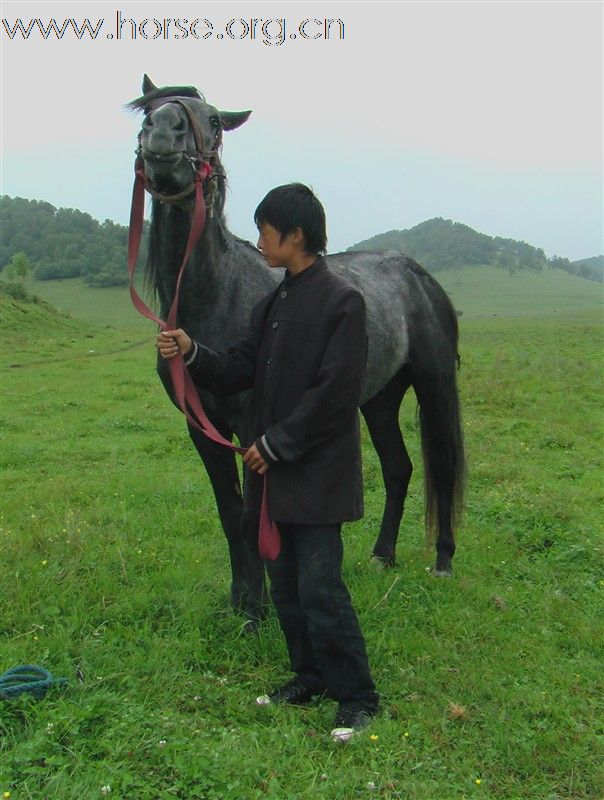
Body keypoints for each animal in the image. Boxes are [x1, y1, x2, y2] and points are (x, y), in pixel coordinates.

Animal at [126, 75, 468, 620]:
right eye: (148, 110)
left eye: (214, 120)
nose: (163, 133)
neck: (217, 298)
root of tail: (419, 276)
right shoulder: (203, 430)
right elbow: (229, 513)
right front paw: (240, 601)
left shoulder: (253, 426)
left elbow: (251, 515)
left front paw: (258, 610)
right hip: (378, 399)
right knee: (399, 469)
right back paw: (381, 556)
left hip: (433, 386)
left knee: (443, 465)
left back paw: (442, 561)